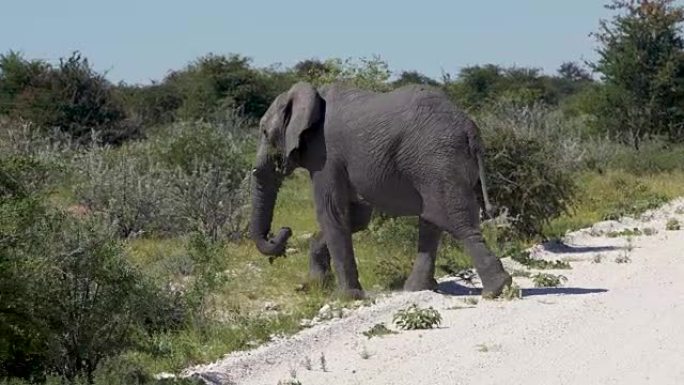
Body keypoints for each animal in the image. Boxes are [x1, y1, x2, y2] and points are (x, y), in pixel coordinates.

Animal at [248, 80, 510, 296]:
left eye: (264, 132)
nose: (284, 231)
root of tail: (470, 129)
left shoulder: (326, 156)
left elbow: (331, 213)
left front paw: (346, 297)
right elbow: (355, 218)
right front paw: (315, 285)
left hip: (436, 159)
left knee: (455, 221)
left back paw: (496, 289)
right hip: (436, 165)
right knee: (432, 220)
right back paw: (417, 289)